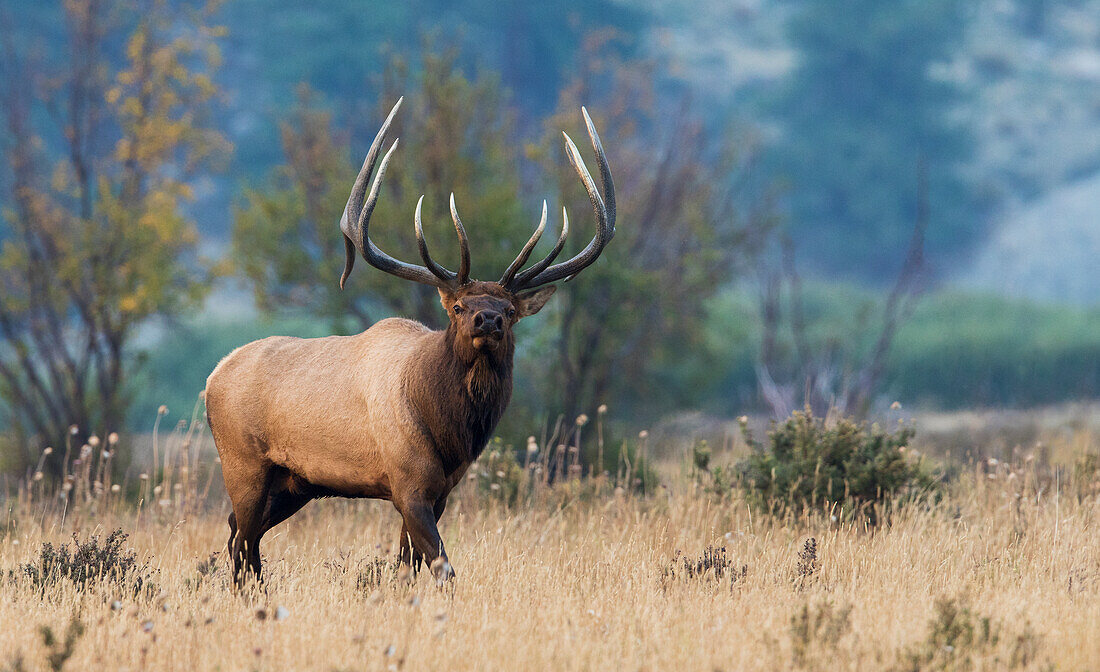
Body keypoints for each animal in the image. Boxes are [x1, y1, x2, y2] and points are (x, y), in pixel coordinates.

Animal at [206, 97, 616, 585]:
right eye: (456, 306)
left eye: (512, 311)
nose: (488, 320)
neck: (450, 430)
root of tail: (212, 377)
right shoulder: (407, 483)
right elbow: (442, 567)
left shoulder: (440, 491)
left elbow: (409, 566)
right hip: (244, 465)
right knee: (242, 544)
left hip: (294, 483)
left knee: (238, 536)